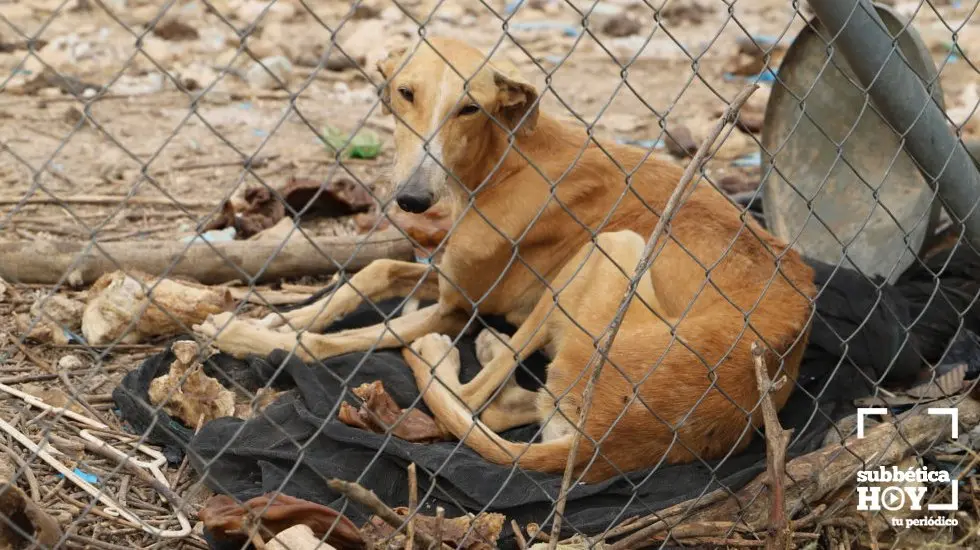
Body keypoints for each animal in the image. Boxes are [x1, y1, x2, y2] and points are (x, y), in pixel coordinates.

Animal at [193, 36, 820, 484]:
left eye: (470, 108)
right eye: (405, 93)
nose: (413, 199)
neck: (505, 157)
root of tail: (611, 439)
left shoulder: (457, 307)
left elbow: (329, 343)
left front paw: (240, 331)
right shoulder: (447, 280)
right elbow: (369, 273)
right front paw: (280, 315)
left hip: (608, 249)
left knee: (468, 398)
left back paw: (449, 356)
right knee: (501, 407)